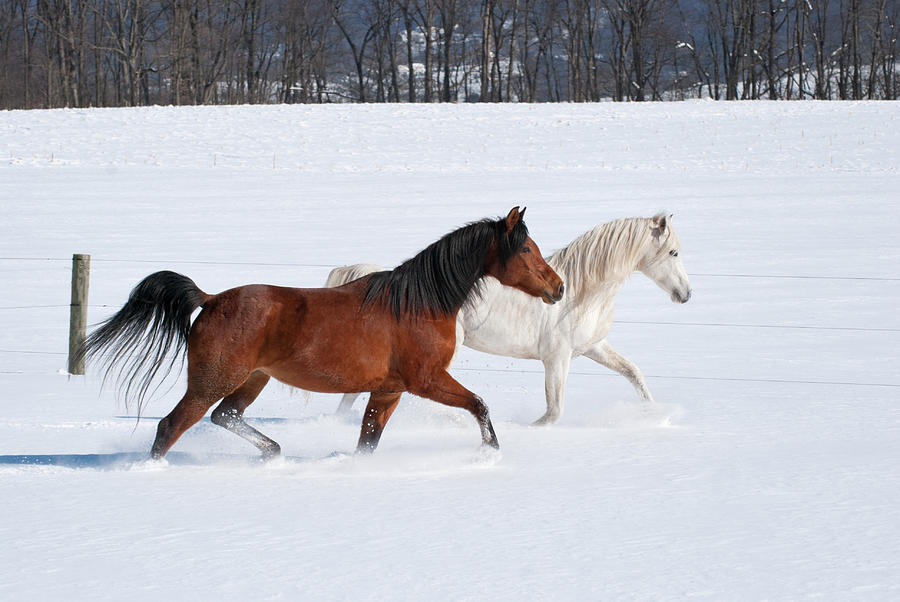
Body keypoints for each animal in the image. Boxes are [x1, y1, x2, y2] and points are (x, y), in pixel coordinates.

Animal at [82, 207, 564, 460]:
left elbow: (368, 441)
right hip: (212, 381)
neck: (418, 302)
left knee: (226, 416)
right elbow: (480, 405)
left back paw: (273, 452)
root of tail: (211, 299)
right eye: (525, 248)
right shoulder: (426, 381)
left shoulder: (388, 390)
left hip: (252, 379)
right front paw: (491, 452)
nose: (557, 287)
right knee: (171, 426)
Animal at [326, 213, 692, 424]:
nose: (686, 294)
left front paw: (654, 414)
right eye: (674, 252)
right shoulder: (556, 359)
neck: (580, 293)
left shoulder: (593, 347)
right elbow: (554, 411)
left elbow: (634, 374)